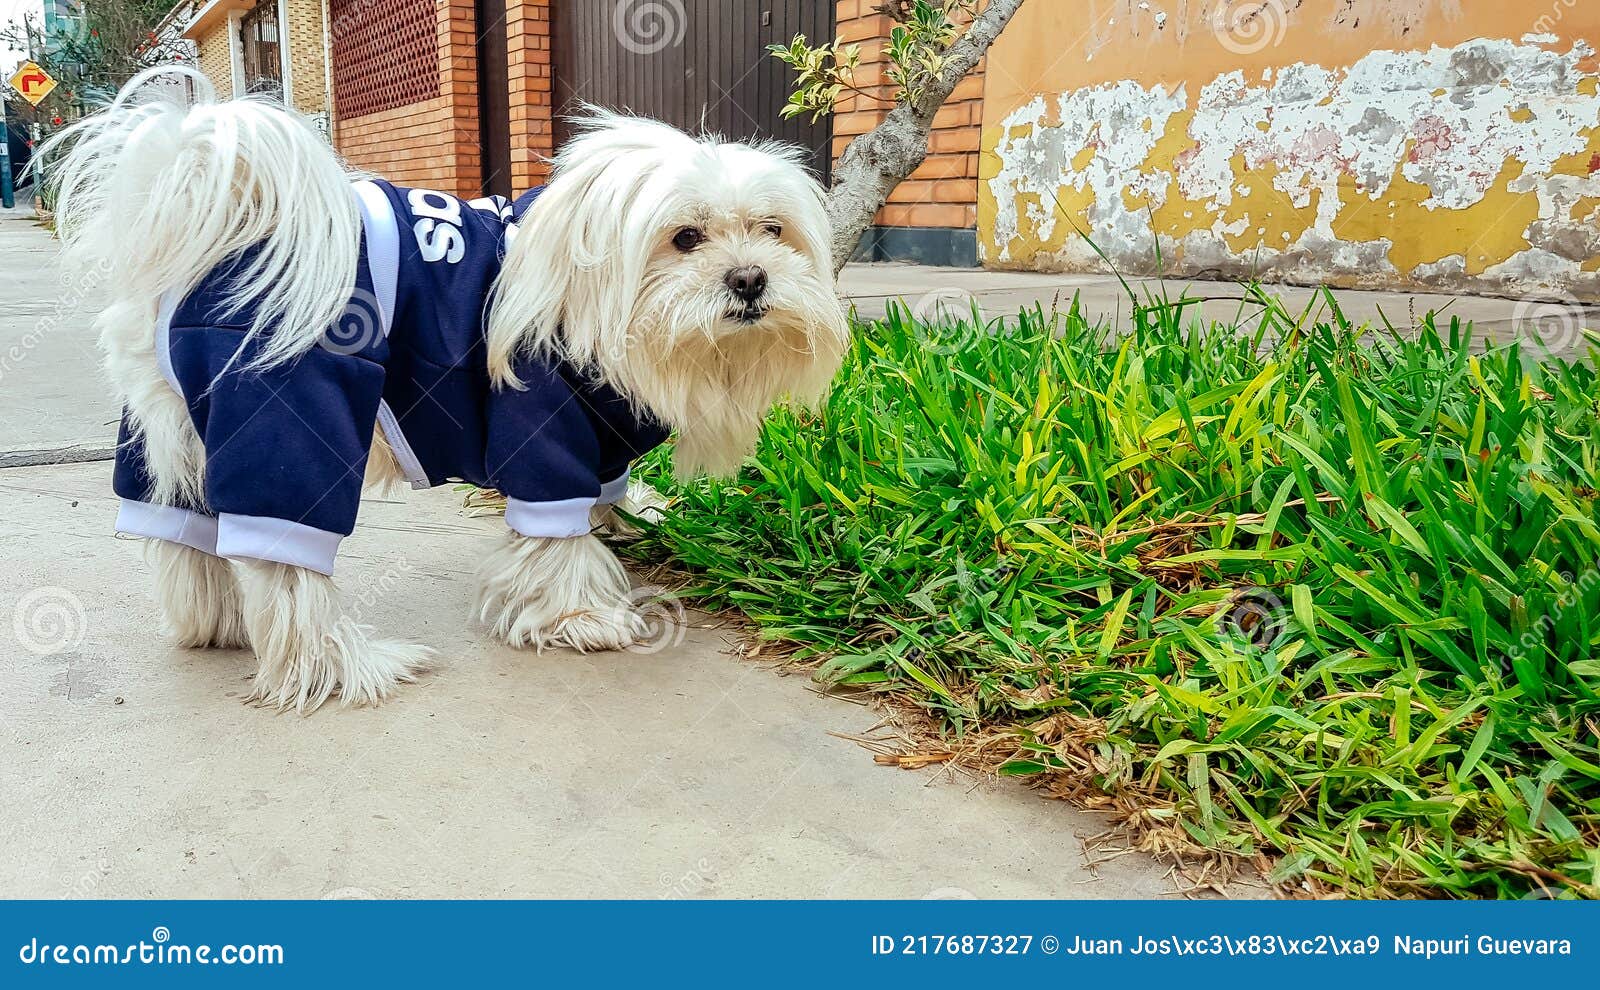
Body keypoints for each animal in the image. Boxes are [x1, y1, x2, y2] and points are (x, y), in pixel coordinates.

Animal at [43, 67, 851, 713]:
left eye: (773, 230)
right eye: (685, 237)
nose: (750, 279)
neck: (582, 288)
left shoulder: (601, 443)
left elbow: (604, 498)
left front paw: (626, 525)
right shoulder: (544, 429)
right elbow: (556, 541)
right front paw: (580, 616)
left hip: (173, 439)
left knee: (189, 541)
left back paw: (220, 625)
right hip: (295, 420)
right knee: (286, 562)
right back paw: (340, 665)